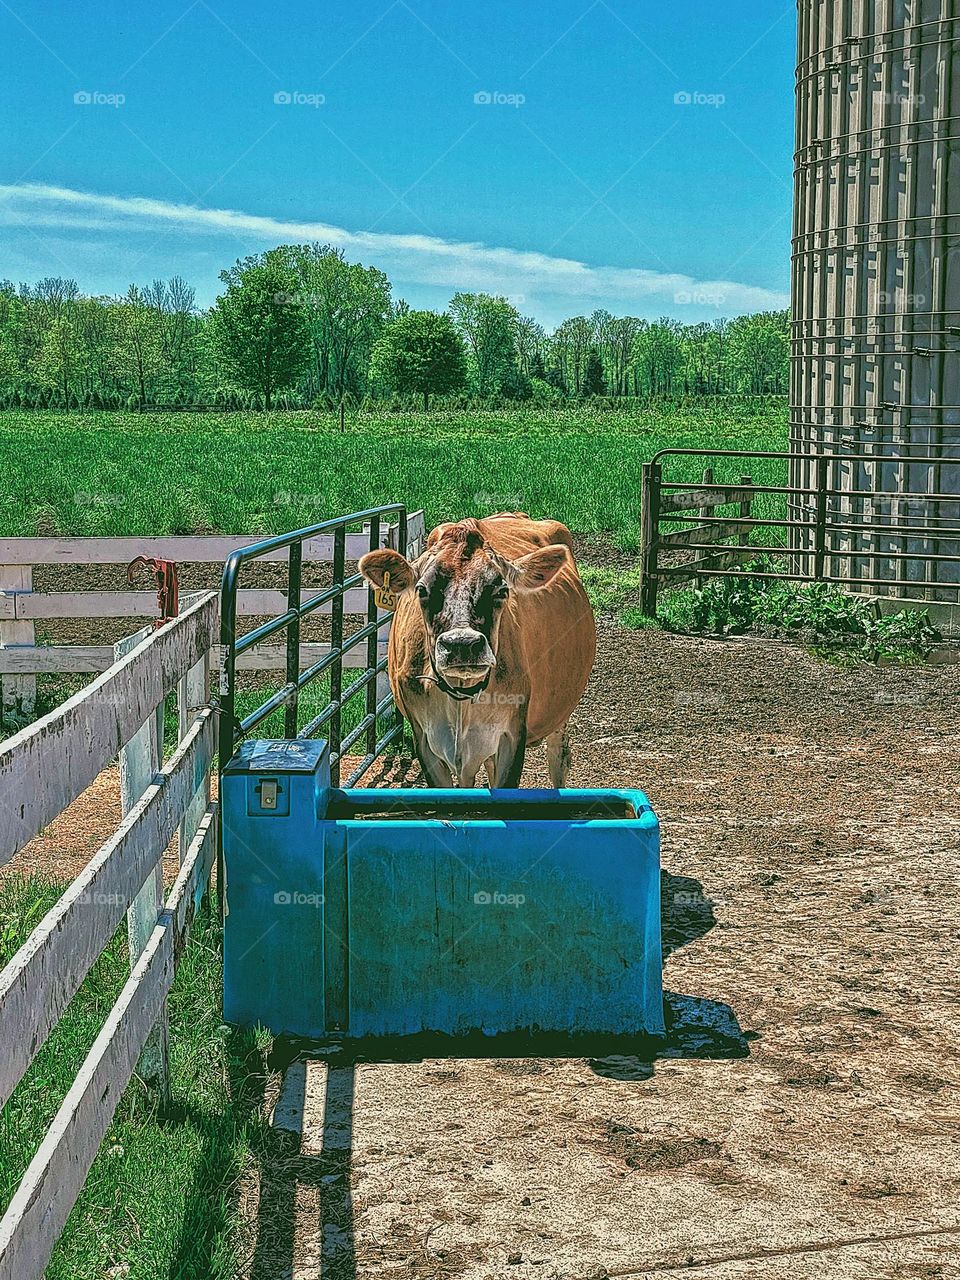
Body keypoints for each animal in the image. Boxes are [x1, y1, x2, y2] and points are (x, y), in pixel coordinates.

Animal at [360, 514, 593, 783]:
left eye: (501, 590)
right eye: (422, 590)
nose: (462, 644)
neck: (460, 698)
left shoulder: (512, 736)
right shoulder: (424, 740)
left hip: (561, 711)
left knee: (559, 756)